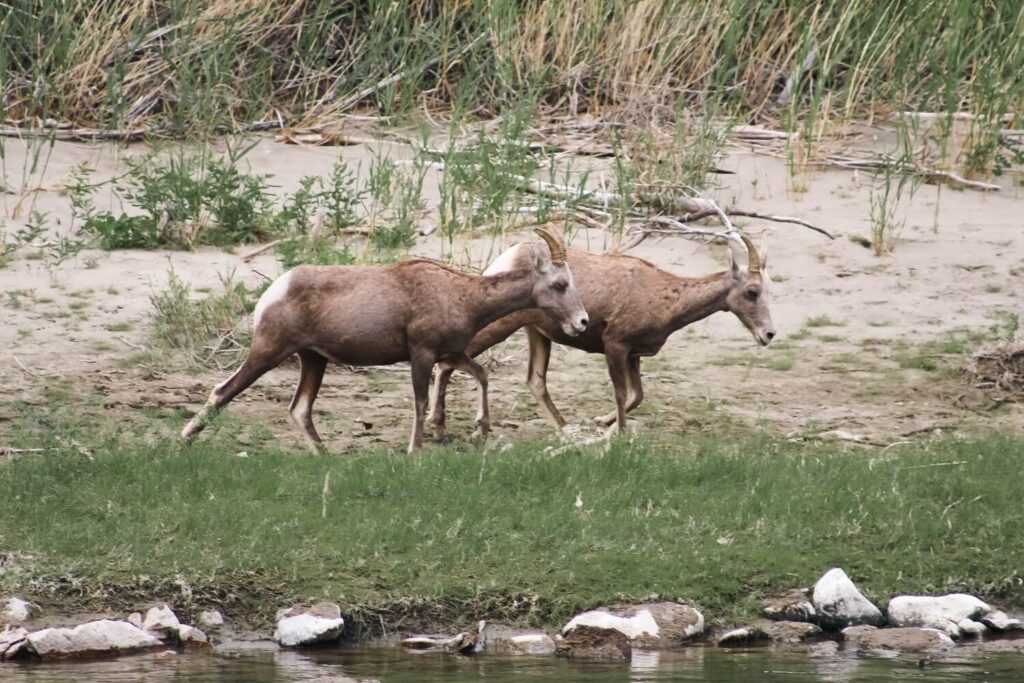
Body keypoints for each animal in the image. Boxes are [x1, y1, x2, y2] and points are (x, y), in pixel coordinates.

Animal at [181, 227, 588, 453]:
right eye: (560, 283)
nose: (582, 322)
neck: (462, 294)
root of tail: (273, 291)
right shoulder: (421, 354)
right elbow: (420, 403)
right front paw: (414, 450)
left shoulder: (451, 353)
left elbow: (482, 375)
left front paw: (480, 430)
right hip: (269, 352)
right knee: (223, 391)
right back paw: (182, 441)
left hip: (313, 360)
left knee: (299, 410)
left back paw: (327, 457)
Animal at [428, 232, 774, 434]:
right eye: (752, 292)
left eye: (768, 290)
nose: (769, 334)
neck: (666, 297)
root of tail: (508, 255)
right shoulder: (615, 346)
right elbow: (622, 394)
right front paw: (618, 434)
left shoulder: (634, 355)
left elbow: (637, 395)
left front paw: (599, 423)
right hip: (501, 326)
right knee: (447, 363)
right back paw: (439, 424)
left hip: (537, 335)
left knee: (535, 381)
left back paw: (565, 429)